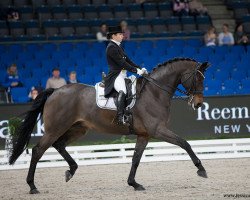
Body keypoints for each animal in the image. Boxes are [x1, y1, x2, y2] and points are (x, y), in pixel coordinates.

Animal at [8, 57, 209, 194]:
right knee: (38, 150)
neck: (154, 92)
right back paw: (32, 186)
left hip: (77, 129)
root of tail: (55, 91)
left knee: (59, 145)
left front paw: (134, 184)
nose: (198, 104)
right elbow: (184, 143)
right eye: (198, 79)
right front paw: (201, 169)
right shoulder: (157, 130)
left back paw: (71, 171)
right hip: (55, 129)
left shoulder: (144, 135)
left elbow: (136, 159)